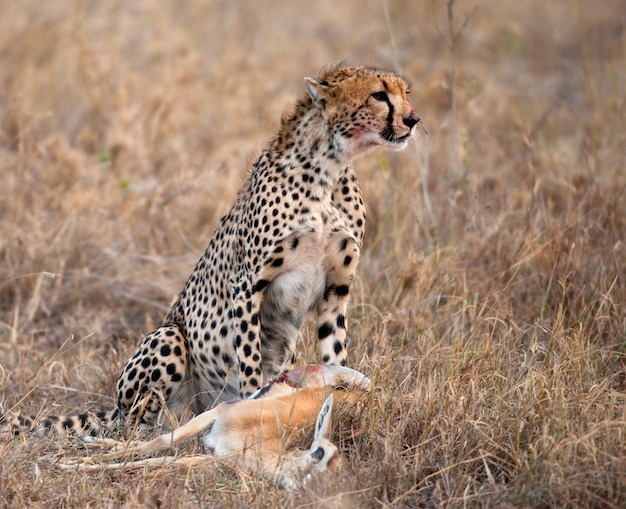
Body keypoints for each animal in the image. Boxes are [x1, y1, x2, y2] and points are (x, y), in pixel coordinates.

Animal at [6, 63, 420, 434]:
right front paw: (255, 406)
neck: (330, 166)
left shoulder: (336, 290)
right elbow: (249, 359)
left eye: (406, 92)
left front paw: (343, 401)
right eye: (379, 95)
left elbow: (335, 353)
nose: (414, 119)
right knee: (136, 422)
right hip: (167, 339)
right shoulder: (249, 283)